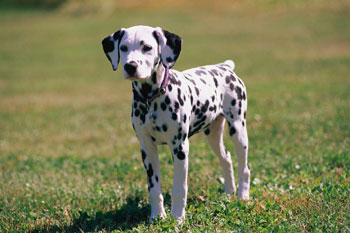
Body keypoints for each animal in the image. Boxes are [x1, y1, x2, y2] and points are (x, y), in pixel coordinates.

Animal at [102, 25, 250, 222]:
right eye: (123, 48)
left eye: (147, 47)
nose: (130, 66)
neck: (152, 99)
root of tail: (224, 67)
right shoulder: (147, 150)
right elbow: (154, 188)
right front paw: (157, 217)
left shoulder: (180, 148)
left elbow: (179, 188)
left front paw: (178, 219)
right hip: (212, 134)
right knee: (226, 157)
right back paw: (229, 192)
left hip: (238, 130)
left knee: (244, 167)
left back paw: (243, 196)